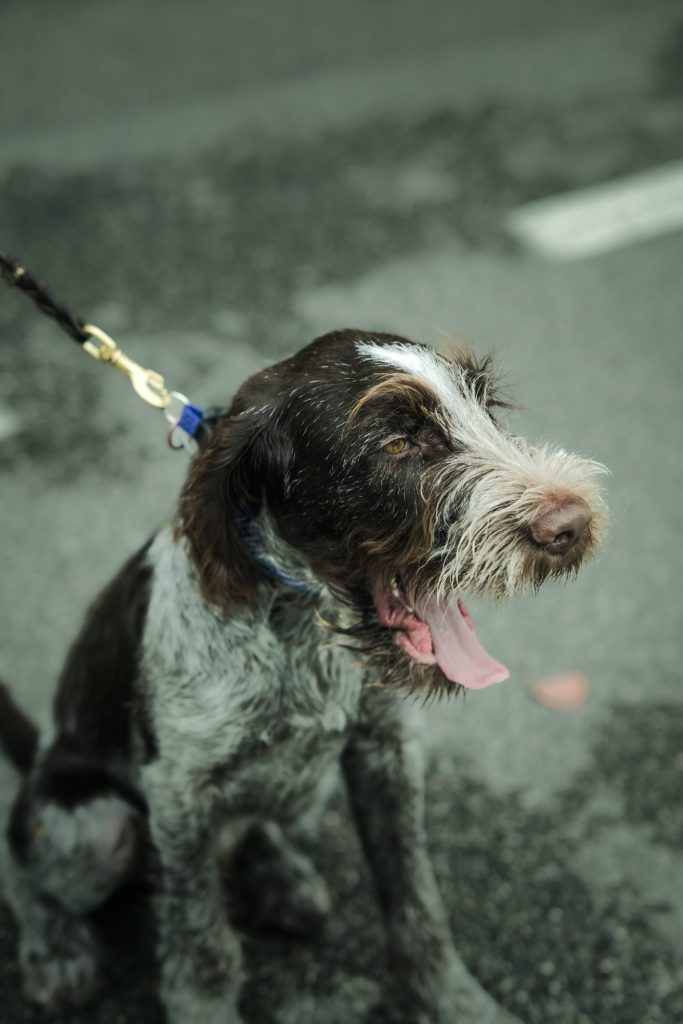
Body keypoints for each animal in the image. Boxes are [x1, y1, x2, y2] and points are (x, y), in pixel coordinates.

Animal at [1, 331, 610, 1019]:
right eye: (397, 444)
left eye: (489, 411)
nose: (572, 525)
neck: (304, 631)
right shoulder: (178, 798)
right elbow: (201, 943)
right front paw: (202, 1005)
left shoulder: (386, 754)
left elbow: (416, 897)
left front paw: (453, 1000)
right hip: (94, 830)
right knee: (22, 868)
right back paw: (55, 949)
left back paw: (280, 875)